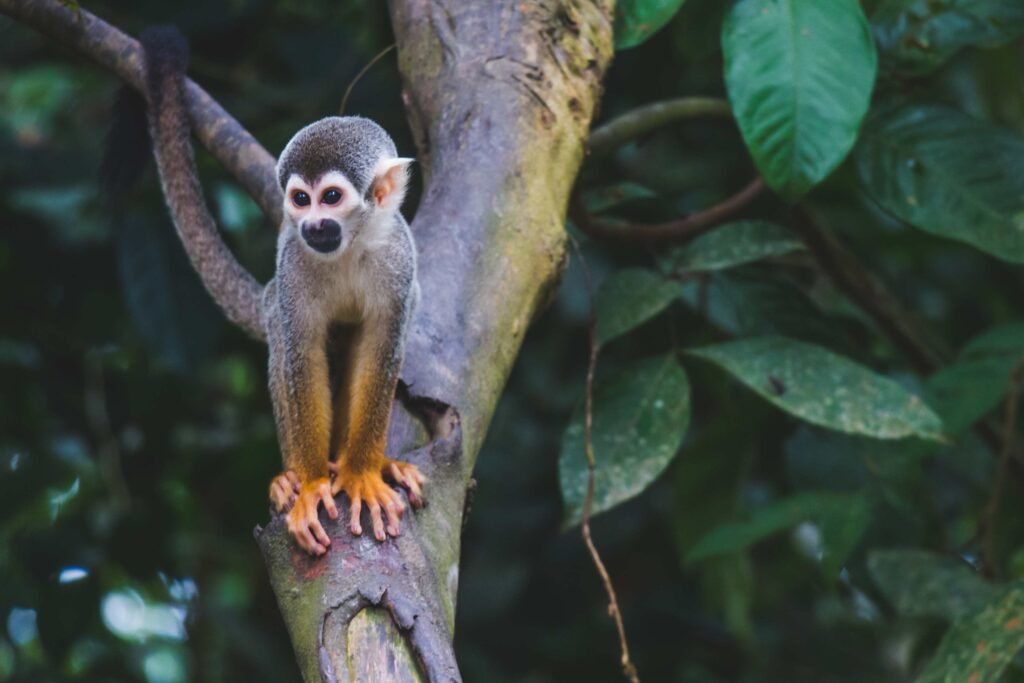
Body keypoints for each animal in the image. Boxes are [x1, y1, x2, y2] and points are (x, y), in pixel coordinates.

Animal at [136, 29, 423, 557]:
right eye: (301, 199)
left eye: (331, 198)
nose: (313, 225)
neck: (351, 245)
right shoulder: (292, 263)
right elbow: (300, 354)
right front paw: (310, 486)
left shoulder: (399, 257)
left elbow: (382, 346)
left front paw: (363, 473)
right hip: (277, 294)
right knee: (282, 339)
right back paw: (291, 478)